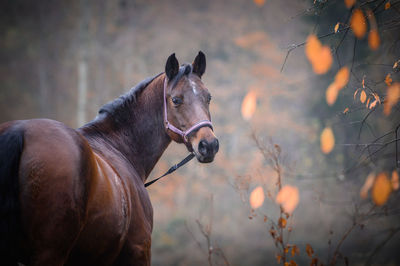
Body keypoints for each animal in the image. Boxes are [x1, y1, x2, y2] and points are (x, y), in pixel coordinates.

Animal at [0, 51, 219, 264]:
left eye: (208, 98)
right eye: (176, 100)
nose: (209, 145)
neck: (118, 146)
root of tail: (19, 132)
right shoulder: (138, 251)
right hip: (51, 253)